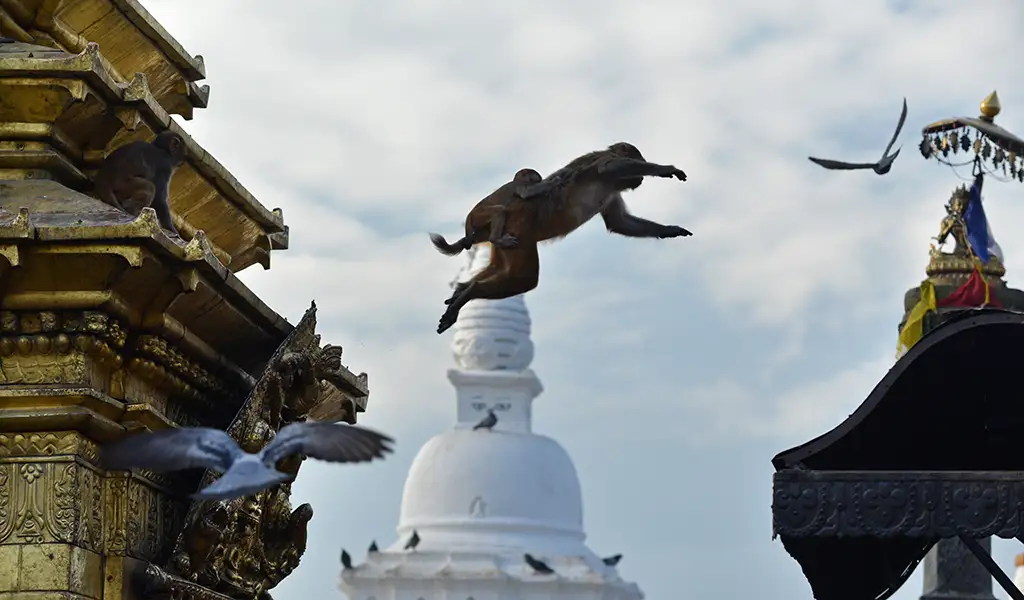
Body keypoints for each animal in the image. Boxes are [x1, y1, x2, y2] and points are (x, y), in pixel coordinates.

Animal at [435, 142, 691, 334]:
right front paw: (665, 169)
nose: (641, 177)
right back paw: (471, 291)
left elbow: (619, 223)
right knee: (524, 278)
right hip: (519, 226)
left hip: (508, 229)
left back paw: (461, 292)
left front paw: (670, 230)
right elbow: (608, 166)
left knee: (500, 268)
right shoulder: (604, 162)